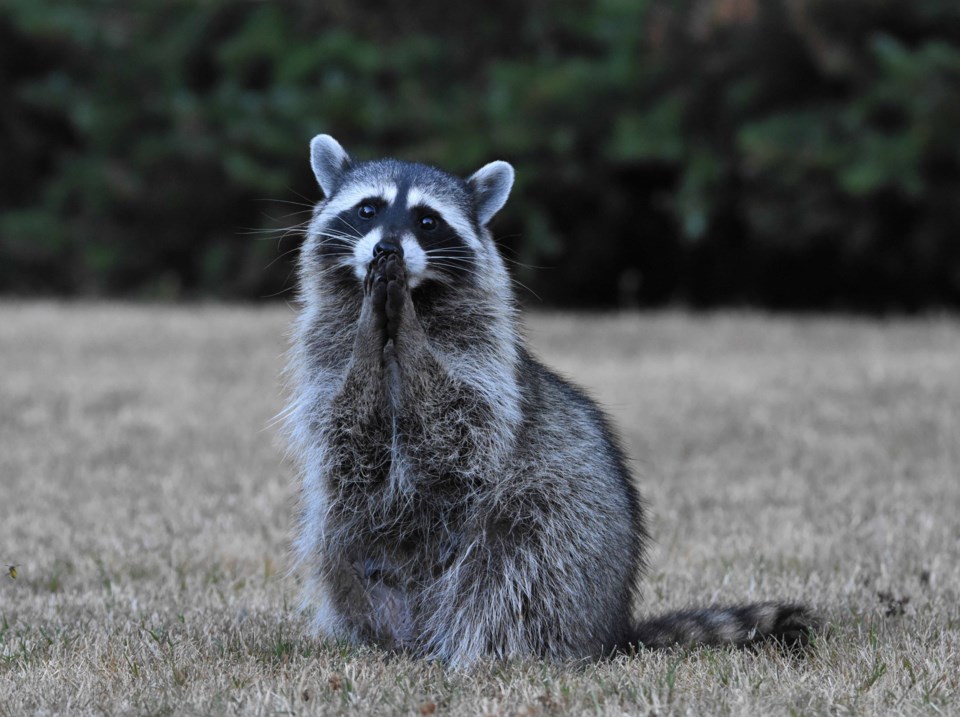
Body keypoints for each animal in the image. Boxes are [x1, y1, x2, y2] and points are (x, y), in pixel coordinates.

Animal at [280, 136, 816, 672]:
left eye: (427, 221)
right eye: (368, 209)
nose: (387, 249)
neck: (415, 295)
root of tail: (610, 632)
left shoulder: (487, 375)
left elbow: (455, 430)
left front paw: (408, 335)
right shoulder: (326, 368)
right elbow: (348, 434)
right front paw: (368, 337)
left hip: (561, 536)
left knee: (518, 561)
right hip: (354, 564)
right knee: (339, 539)